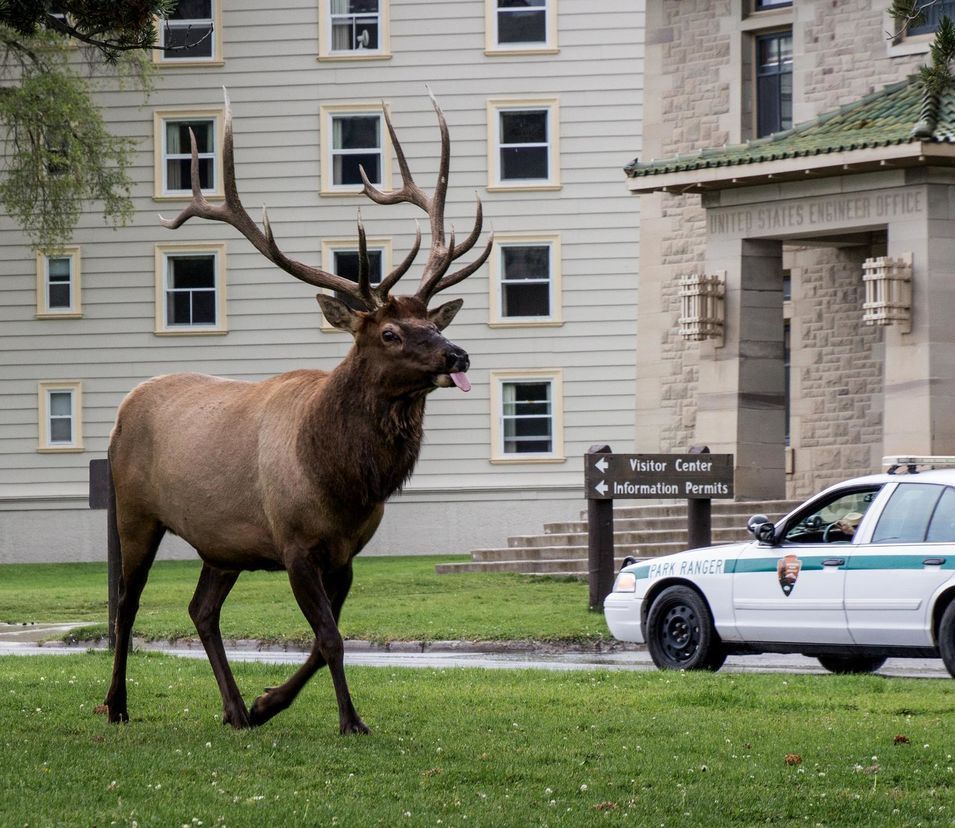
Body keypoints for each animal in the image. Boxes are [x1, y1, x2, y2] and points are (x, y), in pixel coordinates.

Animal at [102, 90, 492, 736]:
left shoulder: (344, 551)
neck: (343, 479)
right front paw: (350, 721)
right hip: (135, 513)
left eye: (433, 321)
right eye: (389, 332)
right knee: (128, 605)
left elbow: (325, 637)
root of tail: (124, 407)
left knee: (201, 609)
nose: (458, 354)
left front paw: (267, 702)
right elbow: (331, 638)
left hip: (222, 544)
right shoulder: (294, 542)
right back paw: (116, 705)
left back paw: (235, 710)